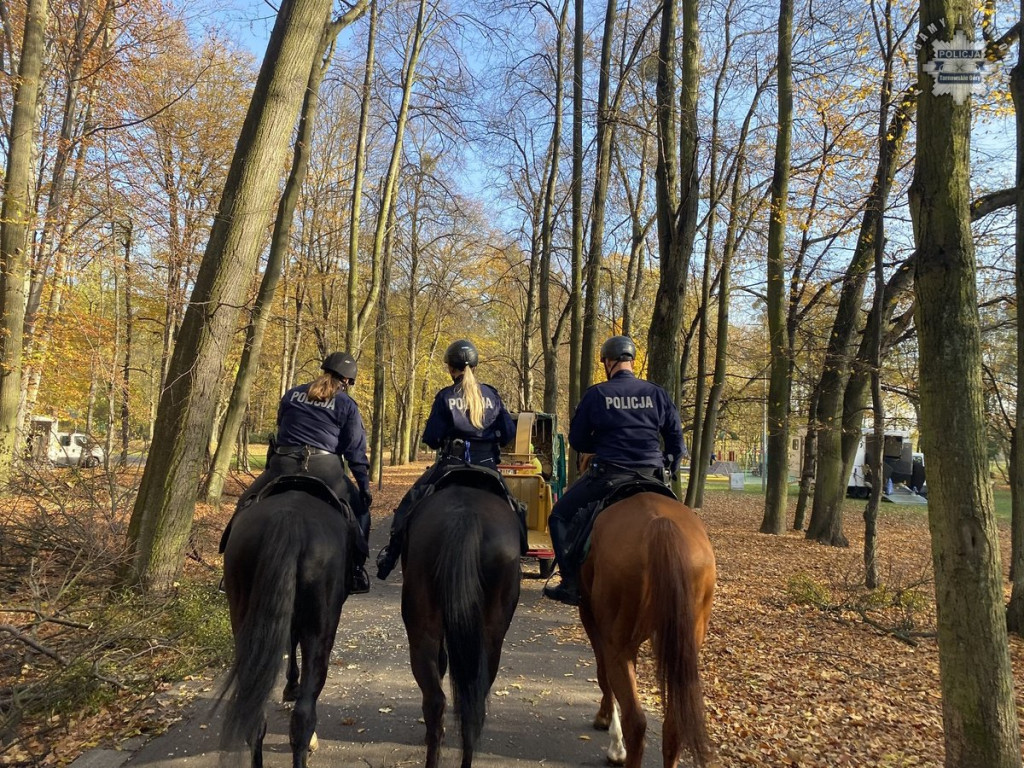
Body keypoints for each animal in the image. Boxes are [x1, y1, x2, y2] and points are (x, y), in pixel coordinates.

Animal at [581, 493, 716, 768]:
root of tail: (659, 525)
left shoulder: (590, 619)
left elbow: (602, 674)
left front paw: (607, 726)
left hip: (618, 645)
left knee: (636, 721)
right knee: (673, 725)